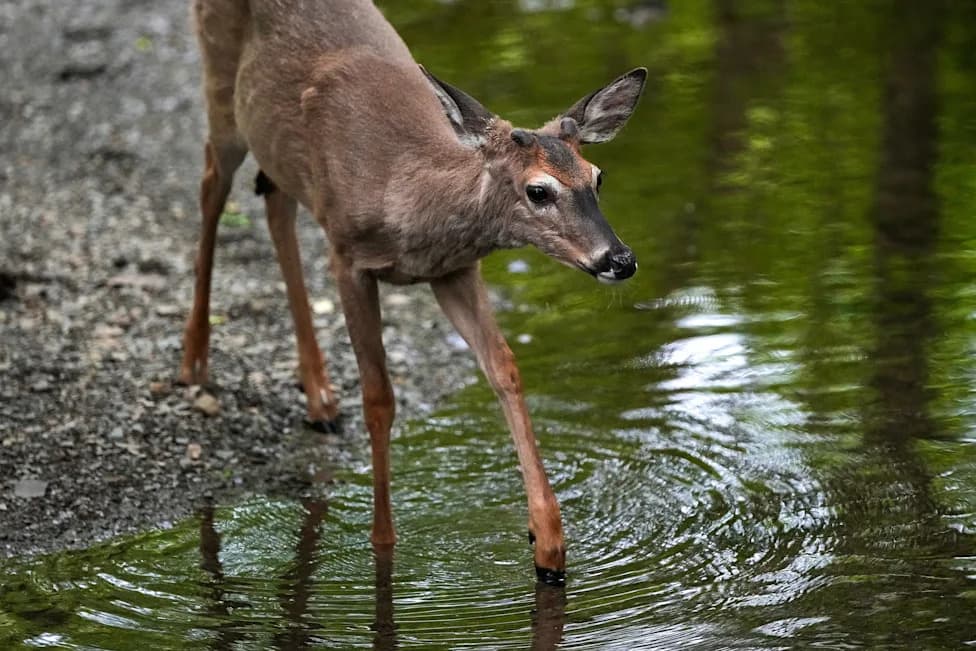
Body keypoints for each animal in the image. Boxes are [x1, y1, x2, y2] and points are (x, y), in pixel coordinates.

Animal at [181, 0, 645, 585]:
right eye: (538, 190)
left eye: (597, 177)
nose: (619, 260)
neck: (405, 197)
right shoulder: (348, 258)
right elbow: (379, 396)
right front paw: (383, 544)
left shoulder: (454, 269)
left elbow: (505, 368)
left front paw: (549, 546)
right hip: (220, 89)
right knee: (211, 183)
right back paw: (194, 361)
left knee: (274, 200)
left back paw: (319, 397)